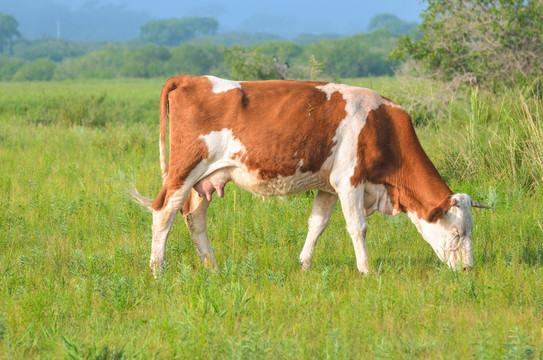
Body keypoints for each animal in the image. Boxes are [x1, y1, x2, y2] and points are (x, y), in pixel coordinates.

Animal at [132, 74, 492, 278]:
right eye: (457, 233)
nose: (468, 270)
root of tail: (189, 78)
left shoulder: (329, 186)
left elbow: (317, 224)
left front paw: (304, 265)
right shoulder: (350, 181)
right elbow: (358, 227)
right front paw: (367, 270)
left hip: (205, 179)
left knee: (194, 217)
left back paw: (212, 267)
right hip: (184, 168)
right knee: (164, 212)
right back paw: (157, 270)